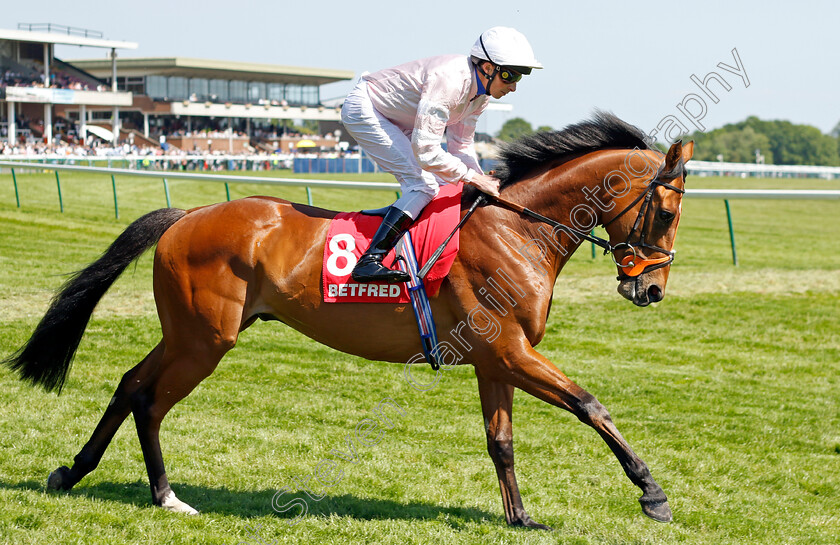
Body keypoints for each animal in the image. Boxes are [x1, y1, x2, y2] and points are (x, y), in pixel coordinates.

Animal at [1, 113, 696, 528]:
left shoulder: (496, 358)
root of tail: (186, 214)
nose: (652, 288)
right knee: (148, 399)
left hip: (191, 334)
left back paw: (75, 472)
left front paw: (519, 517)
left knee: (128, 384)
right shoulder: (510, 351)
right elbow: (591, 405)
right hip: (204, 339)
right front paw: (652, 494)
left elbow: (500, 441)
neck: (516, 231)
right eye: (665, 213)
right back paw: (165, 494)